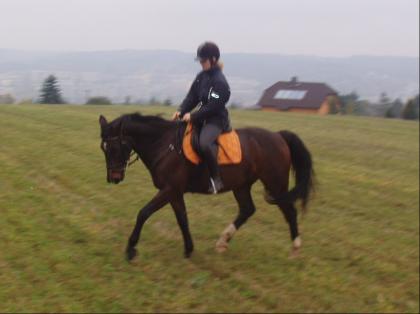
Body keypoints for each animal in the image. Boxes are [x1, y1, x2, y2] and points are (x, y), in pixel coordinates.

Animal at [98, 113, 314, 260]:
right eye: (103, 148)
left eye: (115, 147)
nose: (113, 177)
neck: (164, 144)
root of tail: (278, 136)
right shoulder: (175, 193)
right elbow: (182, 219)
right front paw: (189, 249)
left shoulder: (169, 190)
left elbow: (143, 213)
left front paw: (131, 249)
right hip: (241, 186)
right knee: (247, 209)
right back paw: (222, 242)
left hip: (276, 185)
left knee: (290, 212)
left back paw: (295, 248)